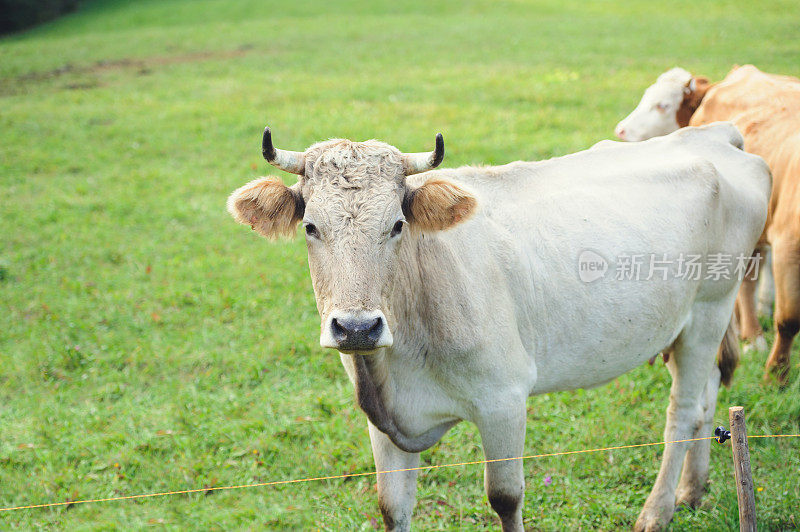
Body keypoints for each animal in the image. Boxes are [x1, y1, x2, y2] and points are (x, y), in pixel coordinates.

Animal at [225, 122, 768, 528]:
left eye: (397, 224)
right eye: (311, 226)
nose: (357, 328)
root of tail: (713, 135)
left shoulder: (504, 399)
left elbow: (505, 498)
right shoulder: (382, 421)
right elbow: (392, 506)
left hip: (710, 307)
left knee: (682, 410)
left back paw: (656, 512)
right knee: (708, 393)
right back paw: (691, 491)